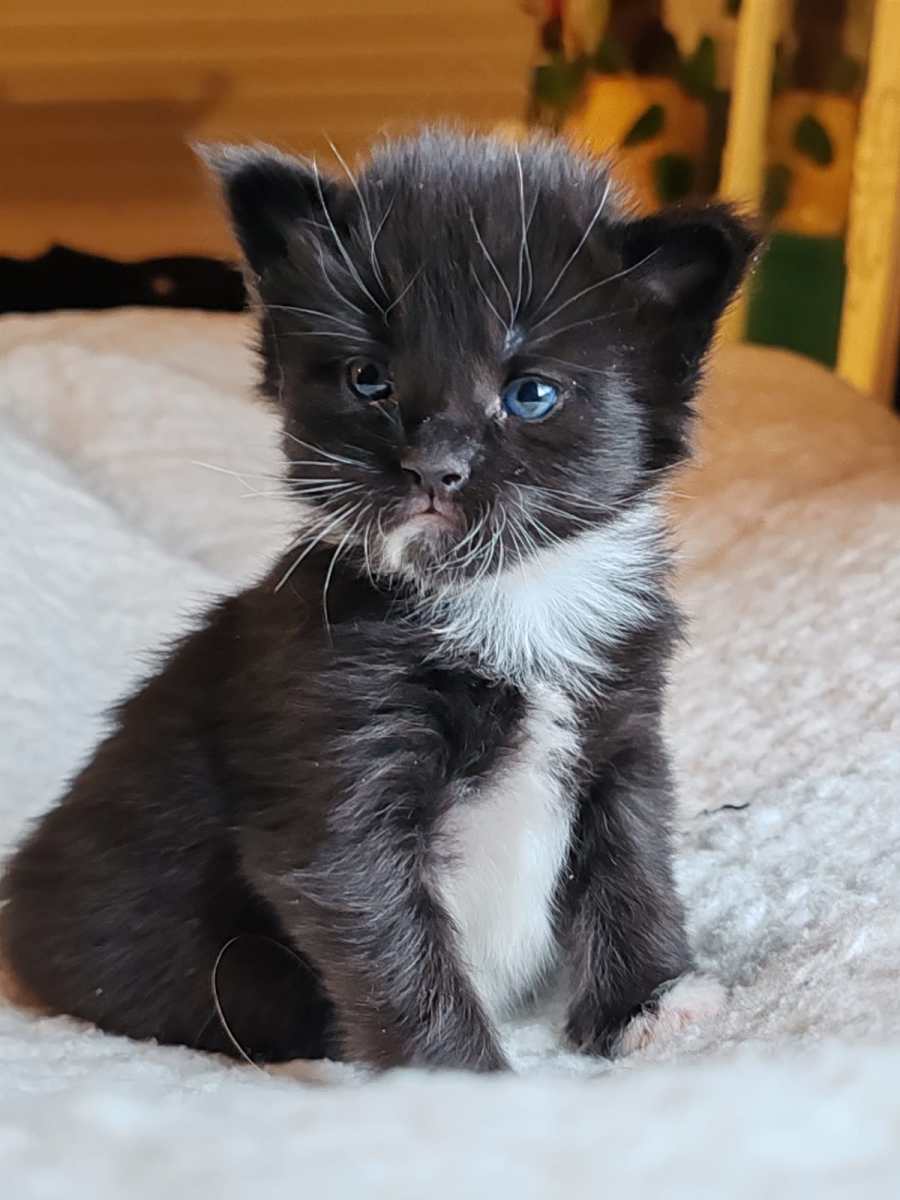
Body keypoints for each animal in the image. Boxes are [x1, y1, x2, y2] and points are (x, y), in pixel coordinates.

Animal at [0, 131, 757, 1069]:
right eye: (368, 379)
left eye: (530, 393)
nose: (433, 468)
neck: (506, 599)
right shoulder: (332, 736)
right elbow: (388, 934)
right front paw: (464, 1080)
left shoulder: (623, 729)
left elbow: (634, 858)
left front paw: (649, 1003)